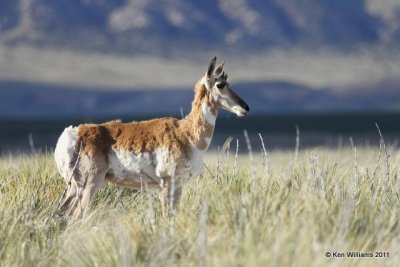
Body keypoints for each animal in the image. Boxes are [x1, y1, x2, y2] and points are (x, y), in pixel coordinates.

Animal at [54, 56, 250, 220]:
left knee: (61, 214)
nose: (245, 107)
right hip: (89, 184)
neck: (187, 133)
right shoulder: (166, 183)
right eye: (220, 84)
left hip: (73, 187)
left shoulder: (178, 185)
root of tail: (72, 133)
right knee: (73, 217)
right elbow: (166, 217)